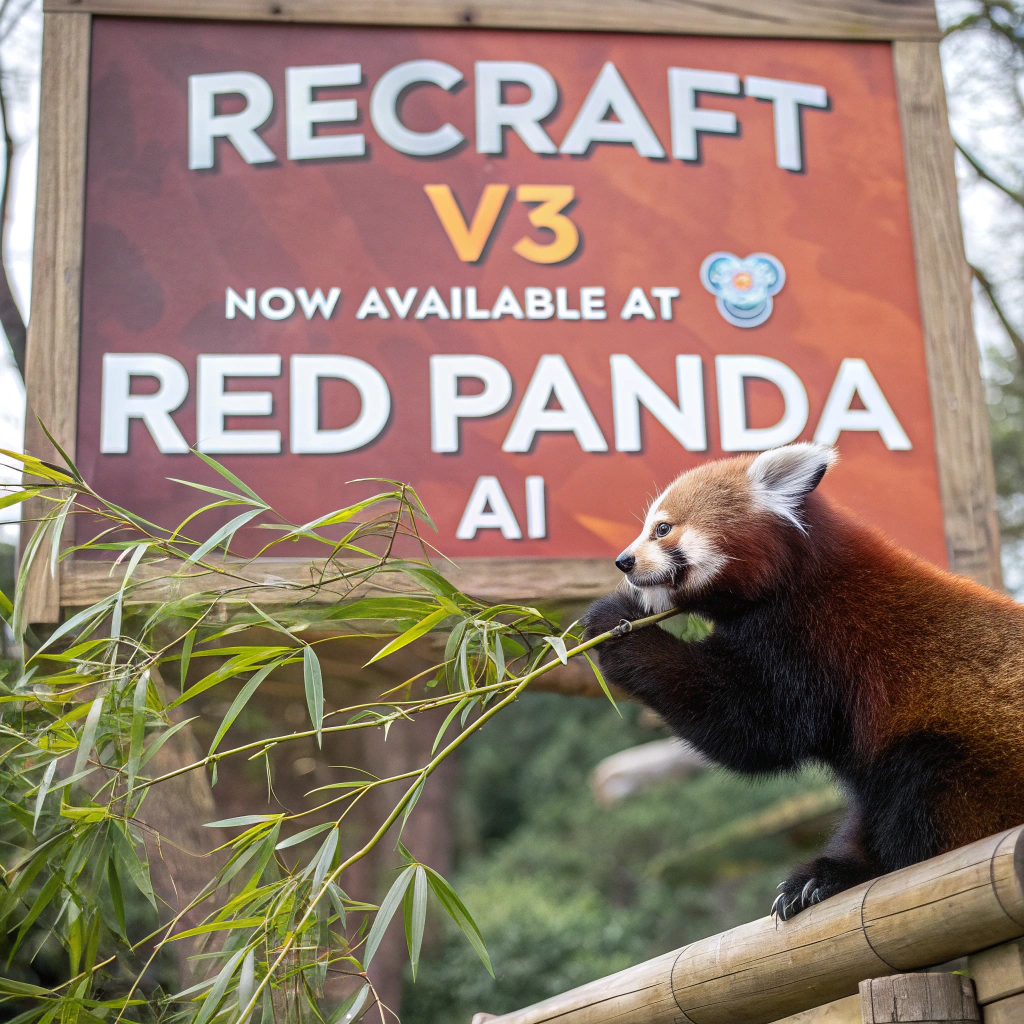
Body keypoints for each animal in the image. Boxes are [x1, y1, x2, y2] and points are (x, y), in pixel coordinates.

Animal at [582, 443, 1024, 920]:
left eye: (662, 529)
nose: (623, 562)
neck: (796, 576)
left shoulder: (820, 640)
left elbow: (756, 727)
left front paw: (617, 625)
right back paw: (825, 875)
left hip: (980, 770)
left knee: (921, 781)